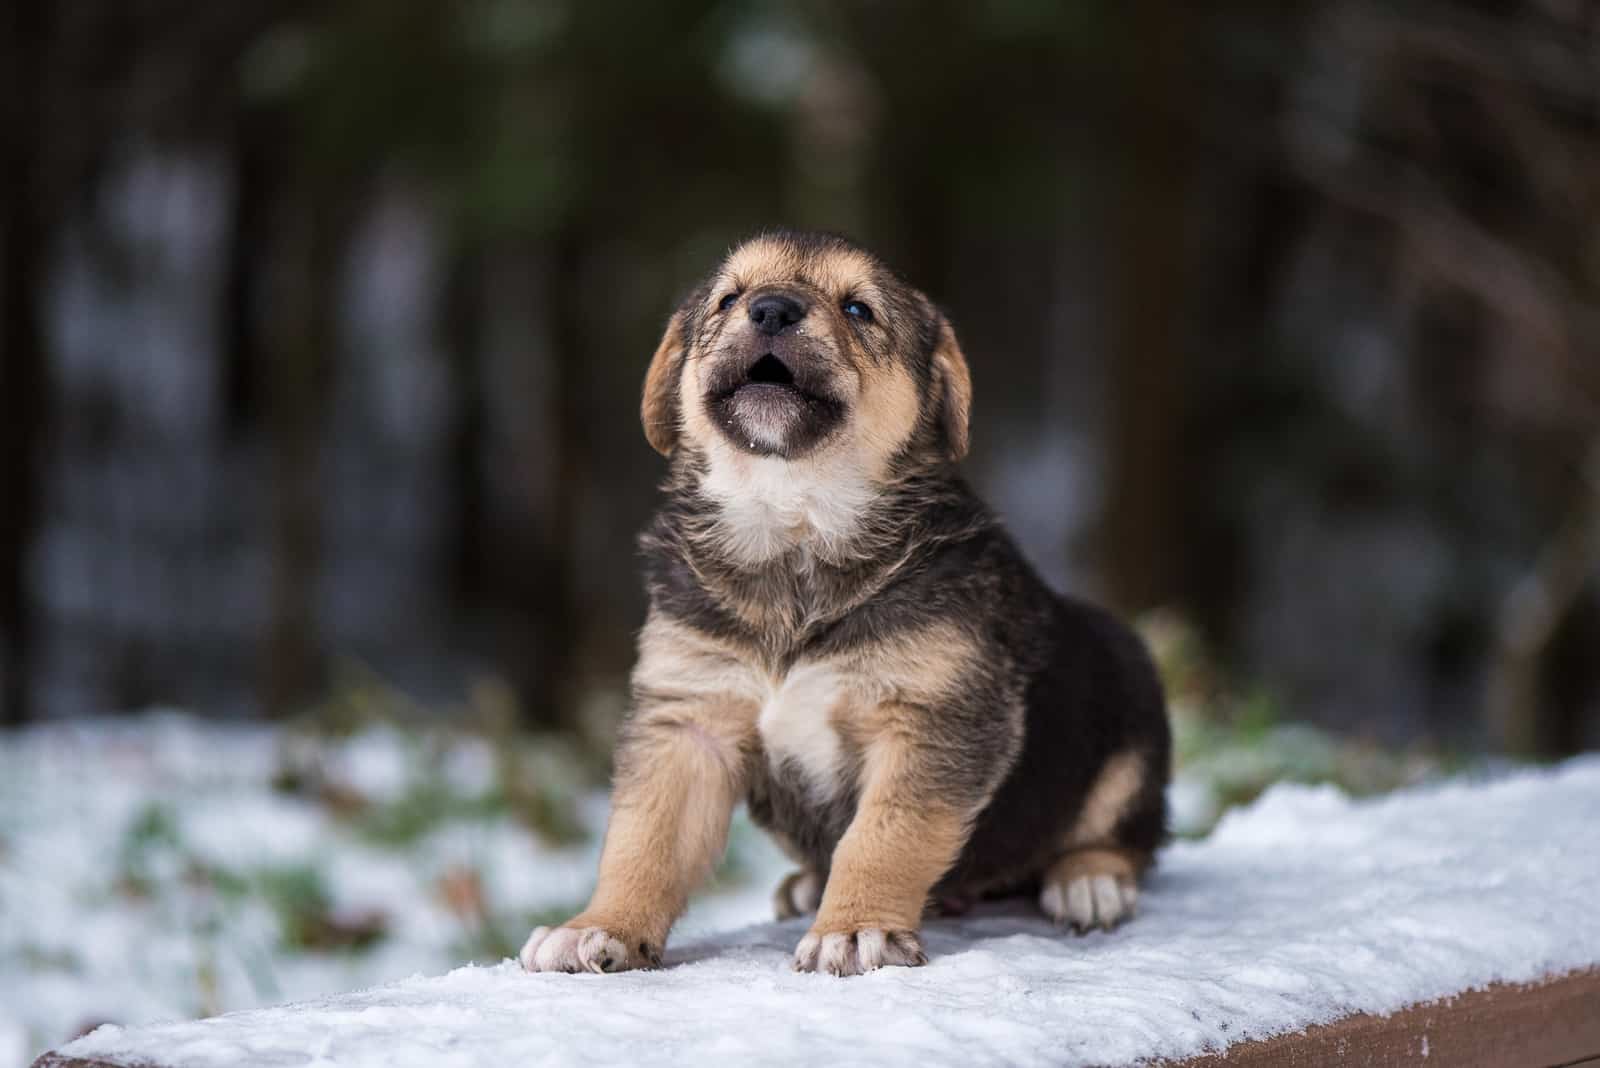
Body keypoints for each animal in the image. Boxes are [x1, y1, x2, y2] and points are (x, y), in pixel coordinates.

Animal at [518, 231, 1171, 978]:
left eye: (859, 309)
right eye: (729, 298)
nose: (771, 309)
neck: (795, 526)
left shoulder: (932, 720)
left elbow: (884, 835)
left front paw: (855, 929)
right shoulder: (687, 720)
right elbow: (642, 837)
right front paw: (599, 926)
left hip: (1131, 704)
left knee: (1127, 836)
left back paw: (1089, 881)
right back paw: (807, 885)